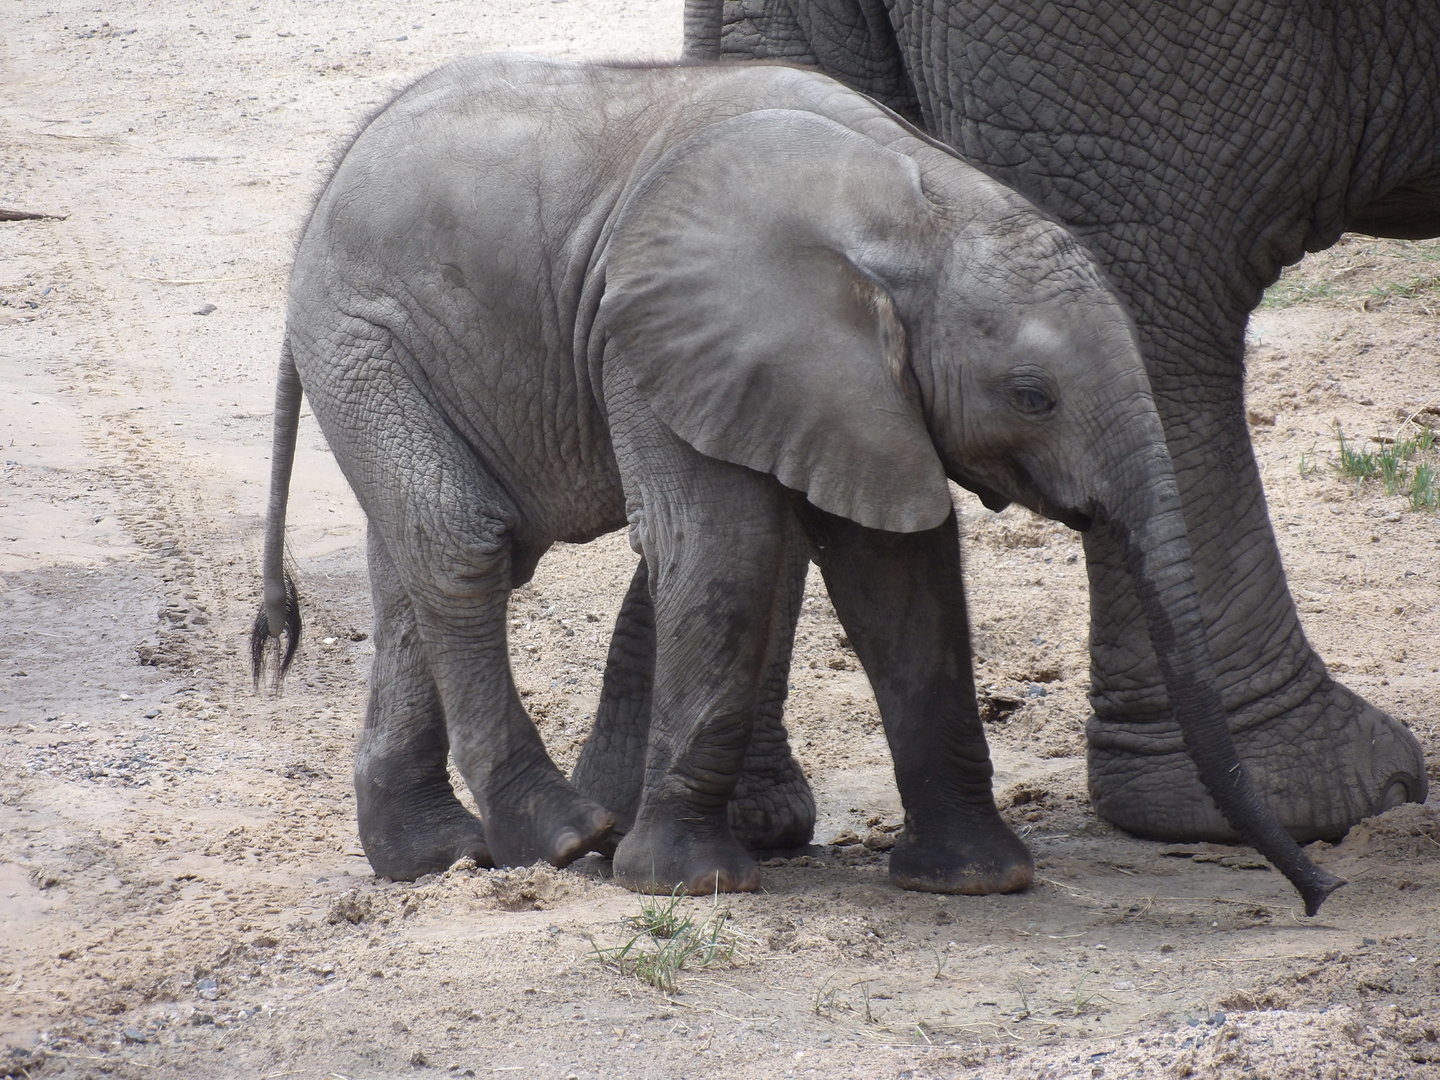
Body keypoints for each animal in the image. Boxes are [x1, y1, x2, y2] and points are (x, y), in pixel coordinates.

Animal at [251, 54, 1338, 913]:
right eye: (1032, 396)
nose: (1318, 893)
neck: (919, 204)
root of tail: (322, 192)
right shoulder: (672, 341)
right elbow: (723, 546)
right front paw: (691, 882)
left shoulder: (848, 388)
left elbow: (901, 574)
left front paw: (976, 881)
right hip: (363, 336)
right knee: (466, 545)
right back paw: (560, 840)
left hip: (383, 356)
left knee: (415, 562)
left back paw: (435, 857)